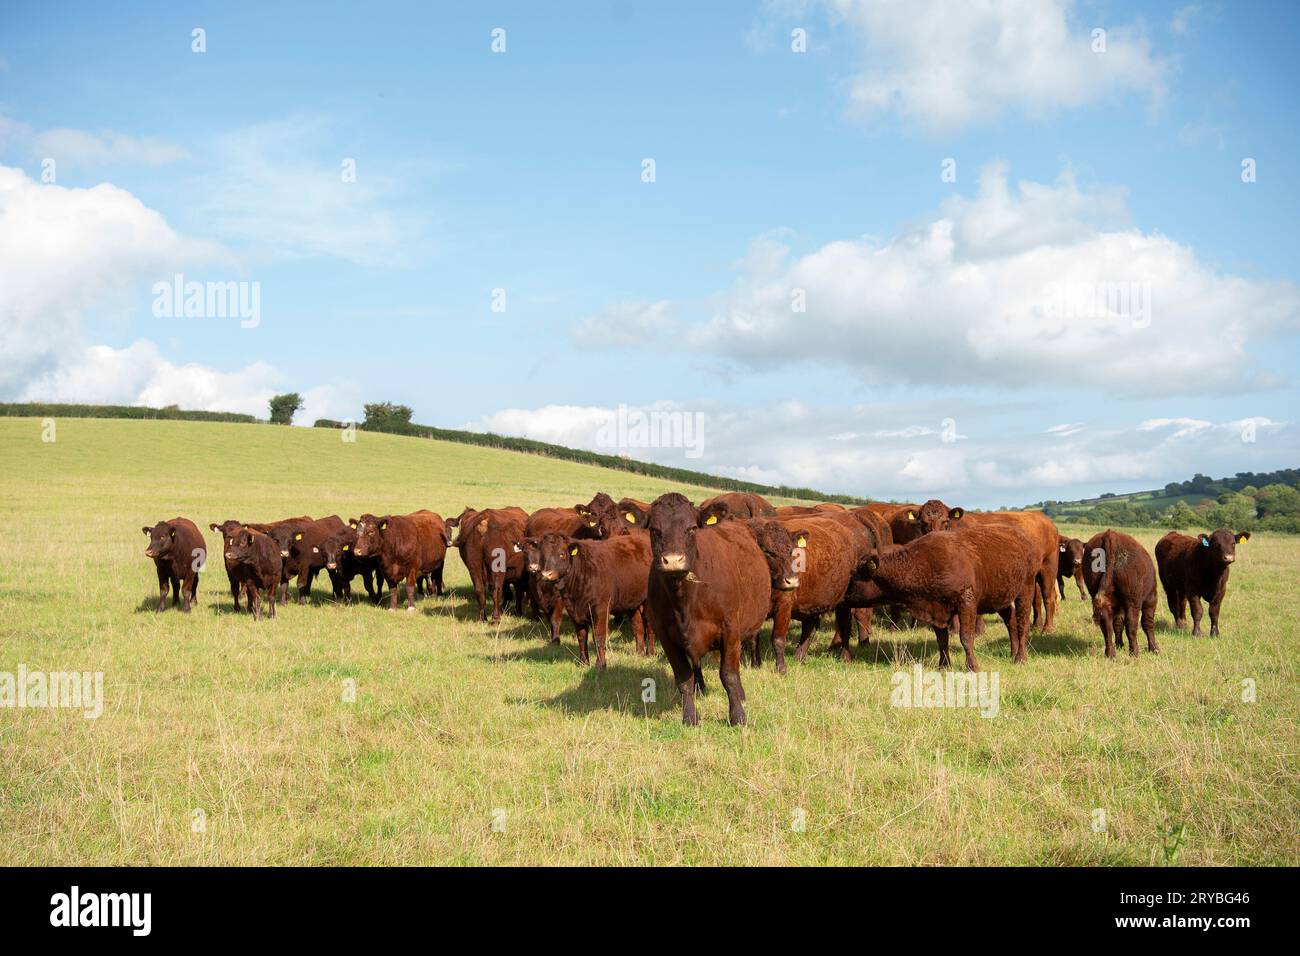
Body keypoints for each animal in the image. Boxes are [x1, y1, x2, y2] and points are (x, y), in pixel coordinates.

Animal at [537, 531, 655, 667]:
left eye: (561, 554)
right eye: (542, 556)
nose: (546, 574)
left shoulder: (601, 609)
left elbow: (598, 636)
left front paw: (600, 664)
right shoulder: (573, 611)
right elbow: (581, 636)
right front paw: (583, 662)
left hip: (648, 602)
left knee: (649, 627)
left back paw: (650, 653)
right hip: (631, 601)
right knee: (638, 626)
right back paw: (639, 653)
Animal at [645, 493, 801, 726]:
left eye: (692, 528)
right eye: (655, 529)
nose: (673, 560)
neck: (684, 601)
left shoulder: (731, 630)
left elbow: (729, 674)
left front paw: (737, 716)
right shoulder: (666, 637)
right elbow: (684, 678)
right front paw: (689, 717)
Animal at [846, 523, 1039, 671]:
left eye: (855, 576)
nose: (843, 596)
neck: (922, 564)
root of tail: (1024, 538)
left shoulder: (966, 602)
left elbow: (966, 637)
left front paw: (973, 667)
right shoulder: (935, 609)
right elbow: (942, 639)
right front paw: (944, 665)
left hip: (1025, 590)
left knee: (1022, 623)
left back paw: (1020, 658)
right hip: (1000, 598)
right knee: (1011, 621)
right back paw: (1013, 653)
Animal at [1081, 529, 1159, 657]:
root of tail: (1110, 535)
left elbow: (1117, 624)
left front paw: (1119, 645)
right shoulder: (1150, 599)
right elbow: (1147, 623)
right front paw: (1154, 649)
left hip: (1102, 598)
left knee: (1107, 626)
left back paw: (1110, 653)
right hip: (1133, 601)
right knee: (1132, 624)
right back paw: (1134, 652)